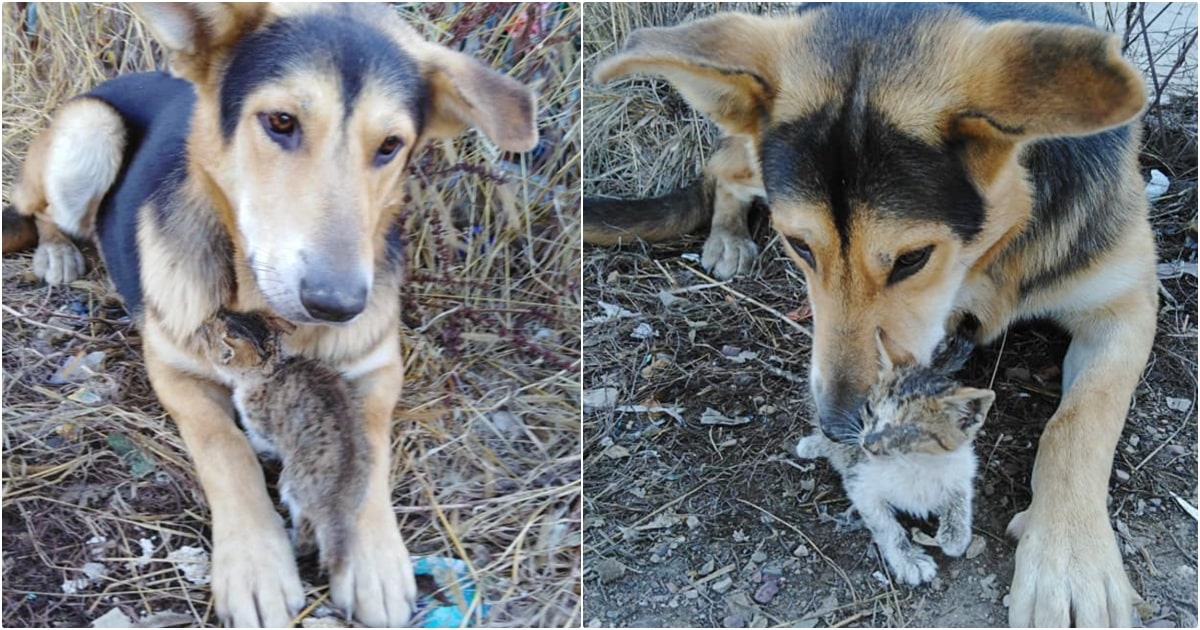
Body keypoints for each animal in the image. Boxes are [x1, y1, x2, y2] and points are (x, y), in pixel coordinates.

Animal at [196, 309, 369, 573]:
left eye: (207, 334)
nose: (201, 325)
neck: (273, 368)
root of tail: (336, 504)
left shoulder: (263, 430)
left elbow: (261, 442)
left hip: (293, 486)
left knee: (307, 536)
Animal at [796, 331, 993, 583]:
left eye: (907, 429)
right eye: (870, 409)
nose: (868, 443)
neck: (916, 464)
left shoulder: (962, 467)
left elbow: (960, 497)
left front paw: (955, 536)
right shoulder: (860, 481)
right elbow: (886, 526)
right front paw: (909, 560)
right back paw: (813, 445)